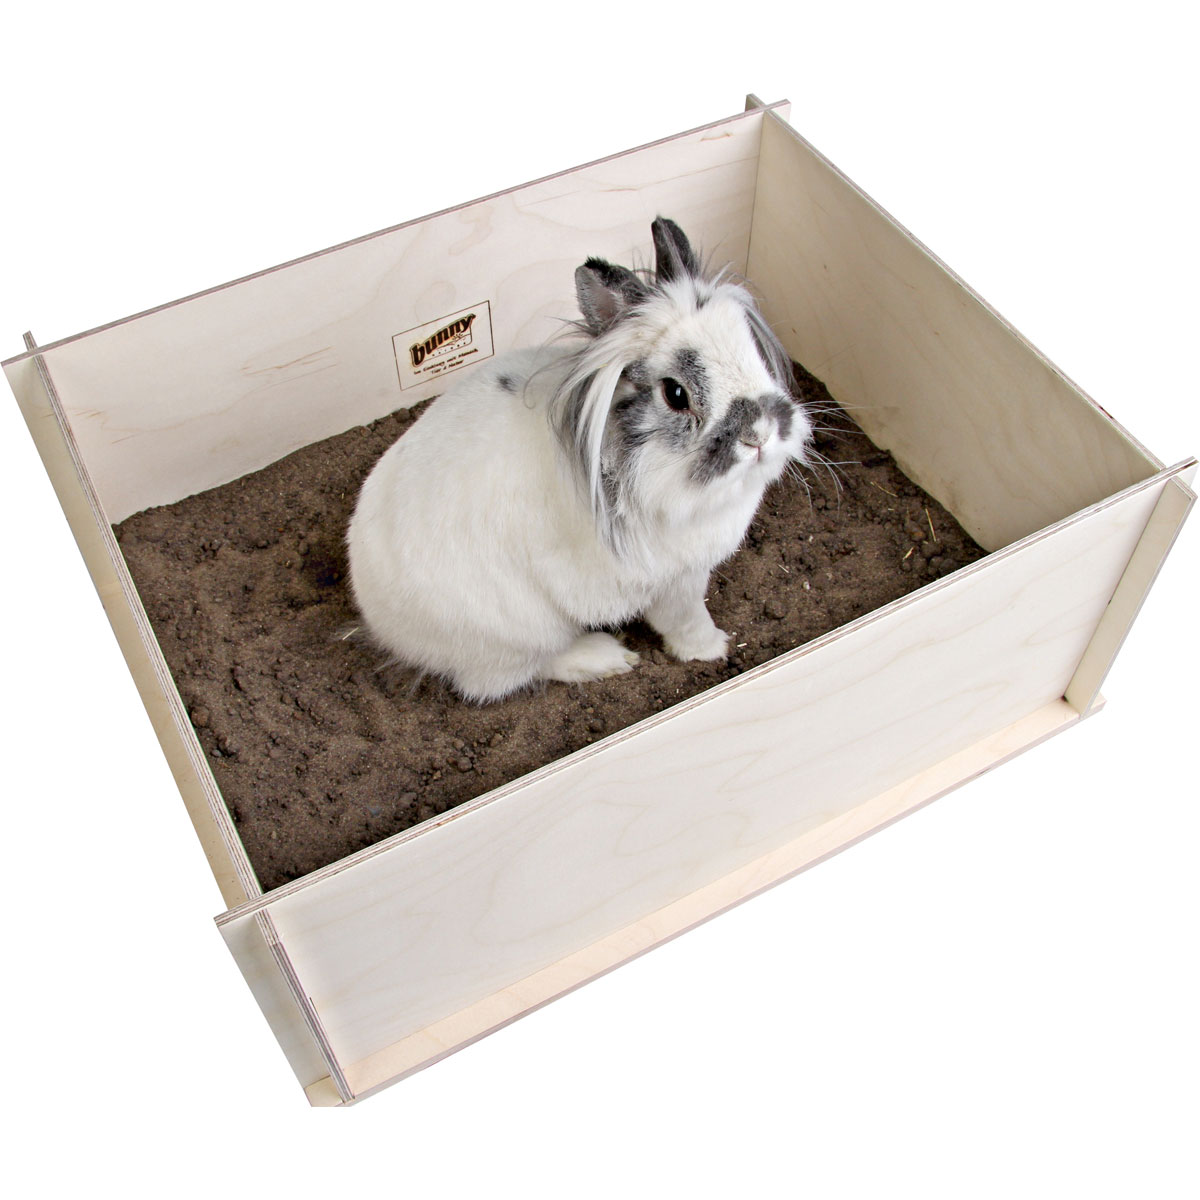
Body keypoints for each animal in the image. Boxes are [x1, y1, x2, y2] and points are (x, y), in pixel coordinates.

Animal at [346, 217, 814, 702]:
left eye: (752, 350)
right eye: (675, 393)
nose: (760, 434)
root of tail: (378, 615)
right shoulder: (674, 582)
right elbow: (685, 619)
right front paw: (711, 649)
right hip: (519, 635)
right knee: (514, 674)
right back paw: (607, 657)